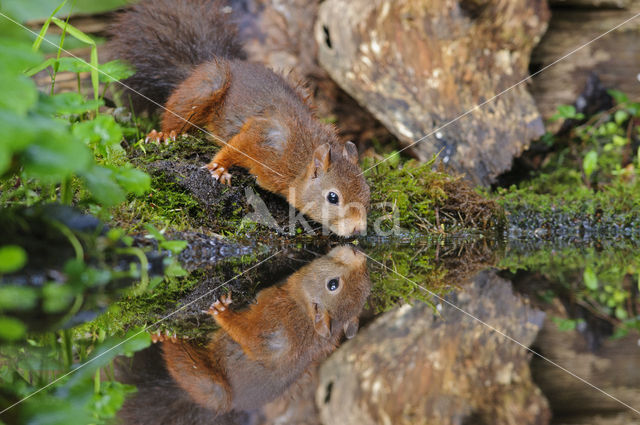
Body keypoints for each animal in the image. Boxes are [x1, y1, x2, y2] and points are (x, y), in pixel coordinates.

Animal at [108, 0, 370, 235]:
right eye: (333, 197)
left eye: (367, 193)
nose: (358, 230)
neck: (300, 158)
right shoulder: (264, 135)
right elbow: (236, 145)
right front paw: (219, 167)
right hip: (208, 85)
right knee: (177, 113)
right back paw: (164, 134)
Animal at [117, 243, 370, 422]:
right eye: (368, 289)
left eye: (333, 285)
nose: (357, 250)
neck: (300, 306)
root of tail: (234, 404)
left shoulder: (275, 322)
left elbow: (250, 338)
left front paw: (222, 313)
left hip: (210, 384)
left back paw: (167, 339)